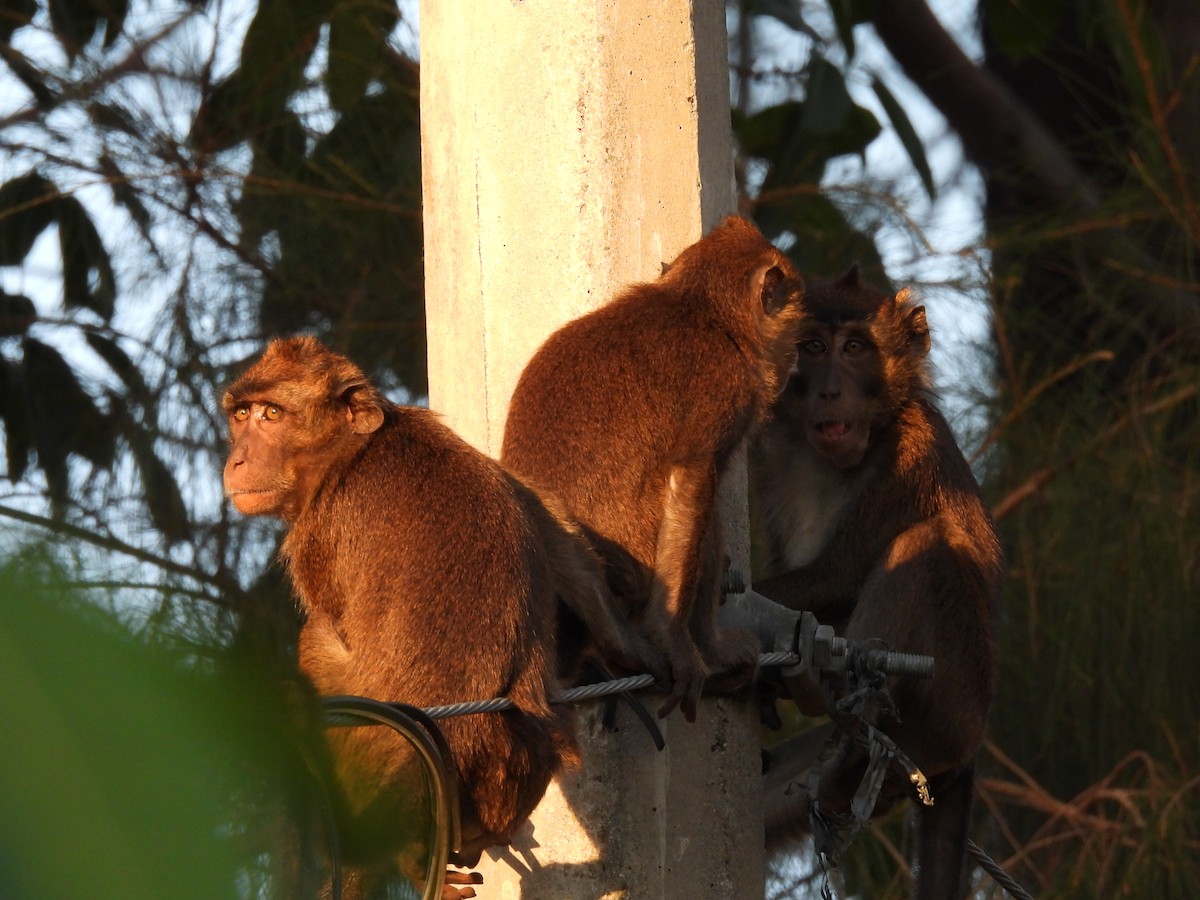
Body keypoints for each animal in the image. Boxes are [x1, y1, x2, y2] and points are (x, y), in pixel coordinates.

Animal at [222, 337, 653, 898]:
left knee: (318, 639)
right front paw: (641, 653)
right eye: (242, 414)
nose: (236, 458)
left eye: (272, 414)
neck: (355, 450)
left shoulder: (321, 531)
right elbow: (565, 549)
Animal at [501, 215, 807, 722]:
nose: (794, 360)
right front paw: (676, 641)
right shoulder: (726, 384)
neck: (703, 309)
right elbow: (692, 477)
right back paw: (711, 650)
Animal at [750, 267, 1004, 900]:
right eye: (813, 346)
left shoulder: (909, 452)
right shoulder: (771, 455)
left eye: (856, 348)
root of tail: (968, 751)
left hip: (950, 706)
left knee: (925, 552)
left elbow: (838, 576)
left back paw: (861, 728)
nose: (829, 391)